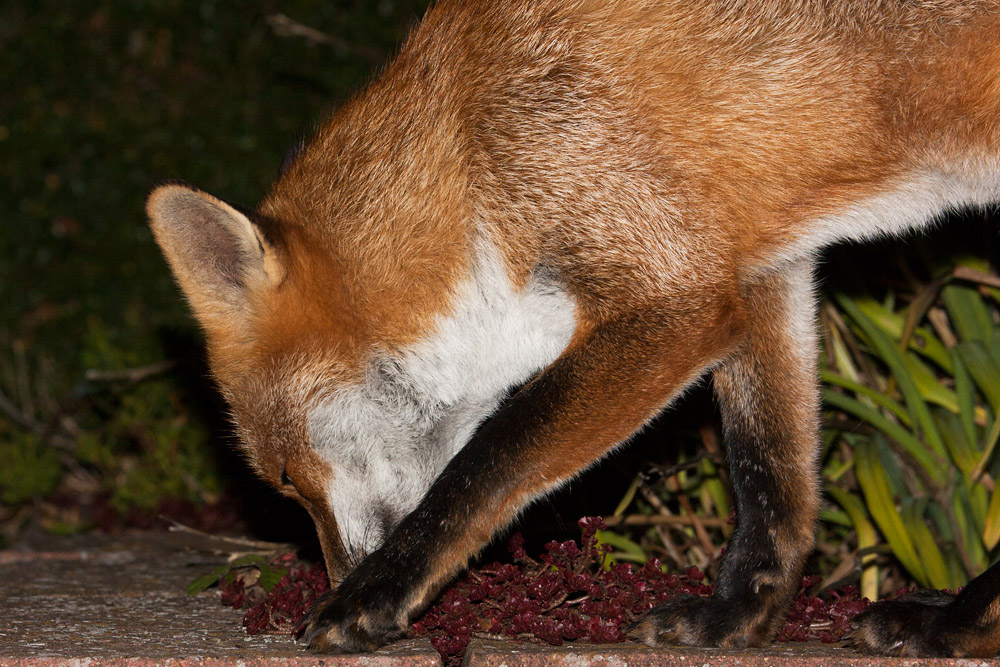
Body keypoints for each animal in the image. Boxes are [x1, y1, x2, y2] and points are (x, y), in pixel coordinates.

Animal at [146, 0, 1000, 658]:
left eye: (287, 477)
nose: (335, 574)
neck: (475, 159)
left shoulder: (675, 302)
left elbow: (494, 456)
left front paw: (371, 595)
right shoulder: (754, 270)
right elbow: (769, 475)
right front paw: (737, 617)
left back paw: (961, 619)